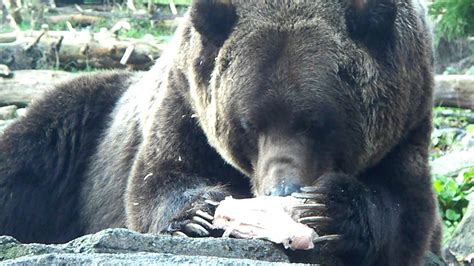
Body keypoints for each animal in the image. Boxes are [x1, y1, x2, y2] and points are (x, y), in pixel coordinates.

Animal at [1, 0, 442, 264]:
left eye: (319, 124)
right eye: (249, 124)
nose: (280, 189)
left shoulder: (407, 123)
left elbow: (404, 211)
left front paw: (328, 208)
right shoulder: (185, 104)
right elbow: (157, 178)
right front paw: (197, 214)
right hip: (84, 126)